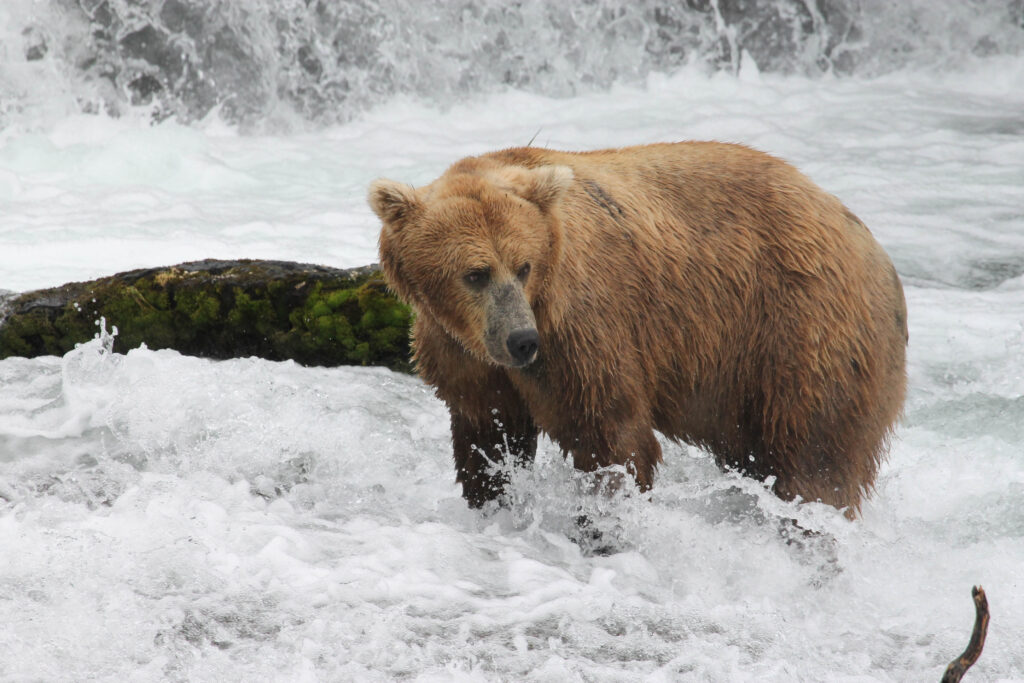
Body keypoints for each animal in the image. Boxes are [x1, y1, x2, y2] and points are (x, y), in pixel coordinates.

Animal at [368, 142, 907, 518]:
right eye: (476, 274)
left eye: (523, 266)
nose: (522, 341)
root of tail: (874, 248)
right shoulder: (463, 356)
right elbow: (489, 438)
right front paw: (492, 502)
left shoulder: (582, 329)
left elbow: (609, 435)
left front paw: (603, 524)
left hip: (801, 331)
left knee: (816, 457)